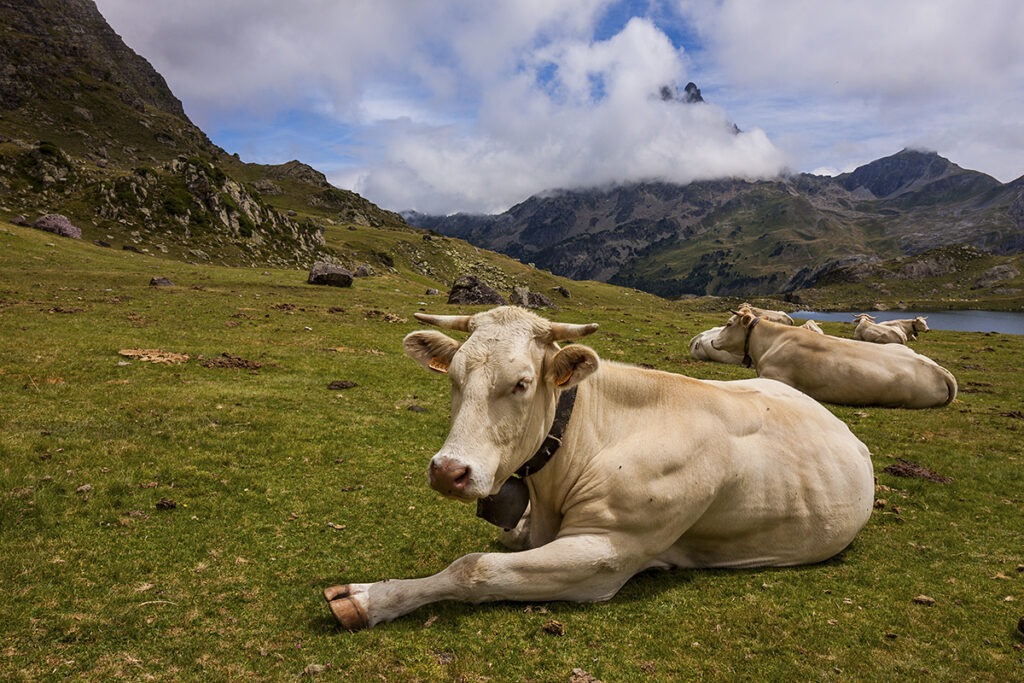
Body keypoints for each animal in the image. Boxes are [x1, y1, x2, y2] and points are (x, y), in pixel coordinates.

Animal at [323, 307, 876, 634]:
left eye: (522, 383)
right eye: (454, 376)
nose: (448, 471)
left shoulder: (606, 552)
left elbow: (473, 567)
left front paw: (369, 597)